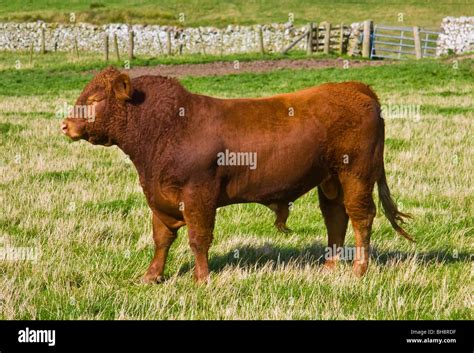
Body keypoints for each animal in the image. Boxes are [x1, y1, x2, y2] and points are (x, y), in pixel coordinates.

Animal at [62, 66, 412, 284]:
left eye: (94, 100)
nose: (65, 125)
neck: (167, 128)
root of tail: (355, 88)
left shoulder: (198, 195)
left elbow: (198, 238)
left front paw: (201, 279)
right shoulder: (159, 196)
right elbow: (161, 238)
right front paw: (151, 276)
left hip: (356, 174)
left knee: (361, 217)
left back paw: (359, 270)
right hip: (331, 180)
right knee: (336, 217)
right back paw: (328, 268)